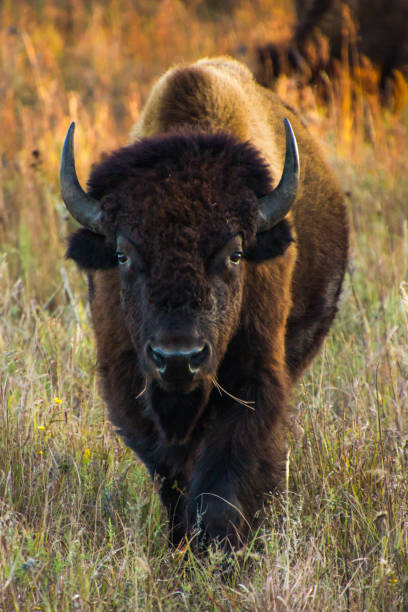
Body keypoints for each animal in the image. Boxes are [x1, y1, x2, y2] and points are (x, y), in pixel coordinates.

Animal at [60, 57, 348, 552]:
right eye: (123, 254)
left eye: (235, 253)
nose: (178, 358)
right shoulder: (129, 387)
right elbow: (171, 474)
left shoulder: (253, 381)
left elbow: (222, 482)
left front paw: (219, 550)